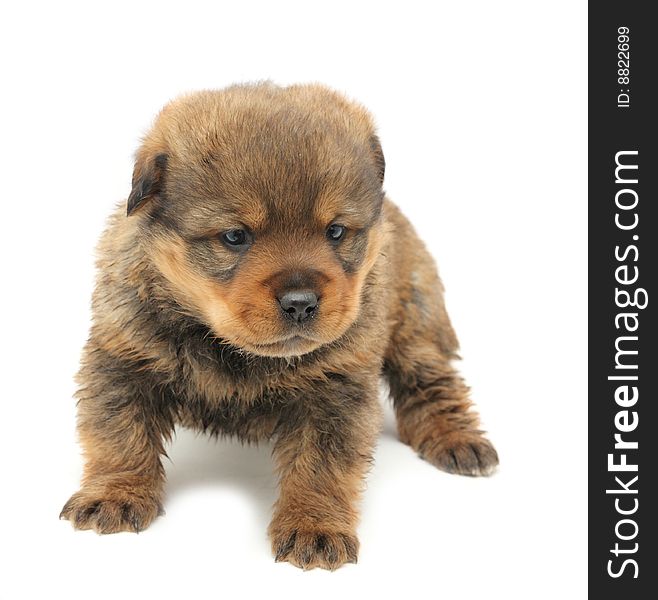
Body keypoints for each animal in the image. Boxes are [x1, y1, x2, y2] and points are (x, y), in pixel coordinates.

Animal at [61, 82, 498, 568]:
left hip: (416, 322)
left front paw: (315, 526)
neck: (231, 349)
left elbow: (321, 466)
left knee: (433, 384)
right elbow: (120, 435)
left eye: (335, 231)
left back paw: (459, 441)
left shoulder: (335, 389)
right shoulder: (123, 359)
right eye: (235, 236)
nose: (300, 303)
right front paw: (115, 494)